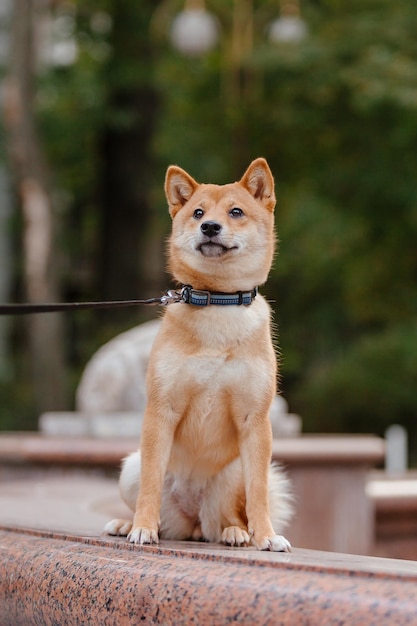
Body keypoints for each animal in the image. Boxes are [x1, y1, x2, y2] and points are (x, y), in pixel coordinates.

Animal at [104, 157, 292, 552]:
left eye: (236, 212)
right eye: (198, 212)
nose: (209, 227)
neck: (217, 302)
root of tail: (191, 519)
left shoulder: (255, 420)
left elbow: (259, 495)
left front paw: (267, 536)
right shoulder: (161, 410)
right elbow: (150, 485)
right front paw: (142, 528)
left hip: (233, 474)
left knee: (226, 519)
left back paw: (237, 533)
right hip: (131, 467)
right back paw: (127, 523)